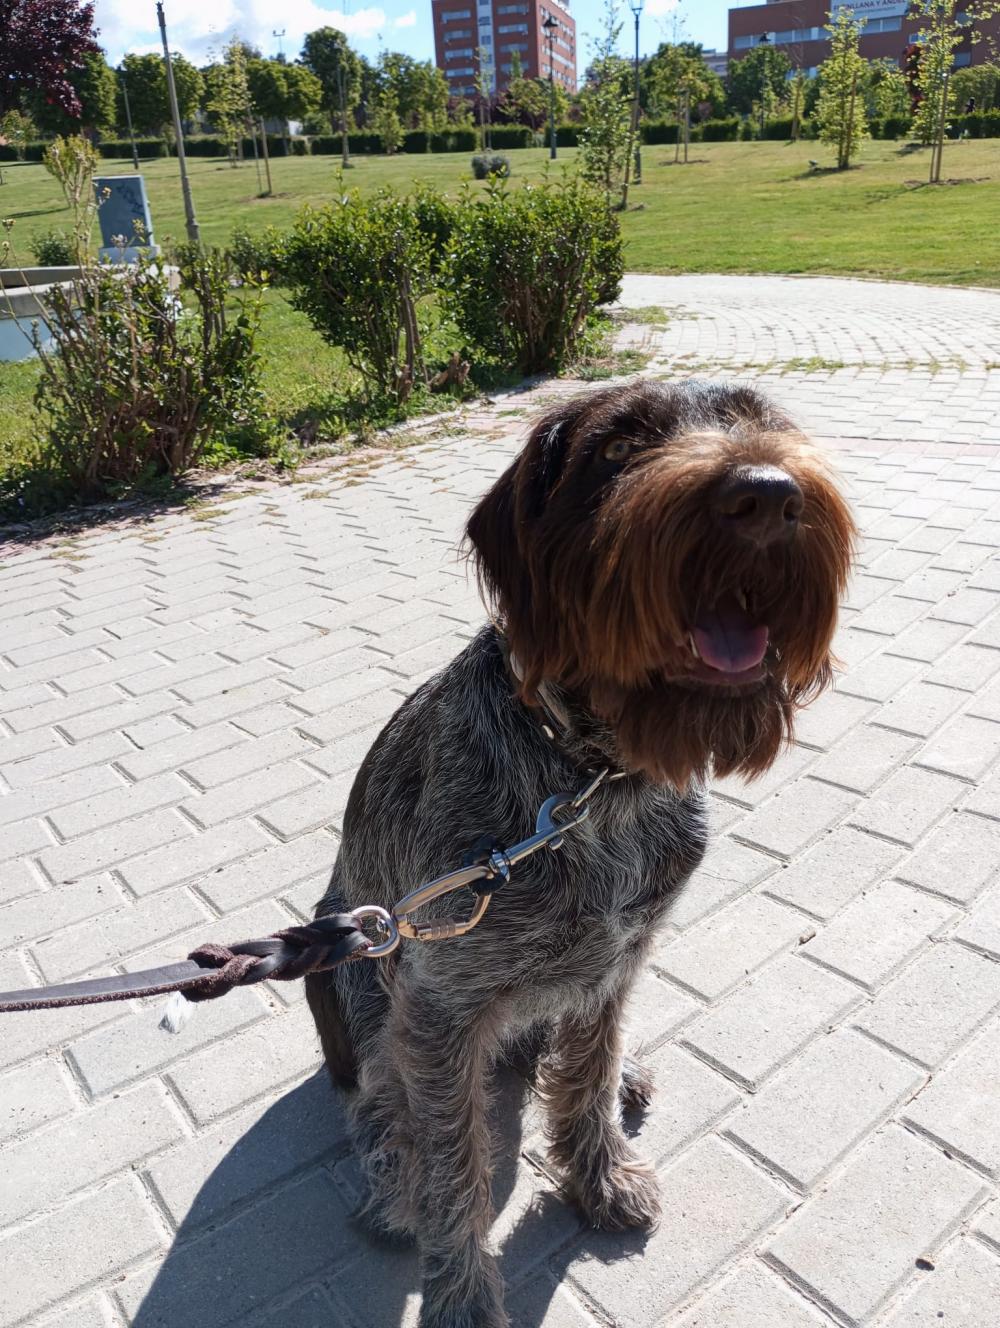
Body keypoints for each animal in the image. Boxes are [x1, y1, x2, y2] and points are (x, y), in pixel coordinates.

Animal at [308, 379, 855, 1328]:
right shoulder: (439, 1005)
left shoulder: (618, 959)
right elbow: (455, 1167)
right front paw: (461, 1296)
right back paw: (391, 1180)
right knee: (381, 1101)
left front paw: (597, 1175)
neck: (594, 782)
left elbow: (588, 1073)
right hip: (371, 996)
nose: (768, 495)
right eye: (620, 446)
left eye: (762, 421)